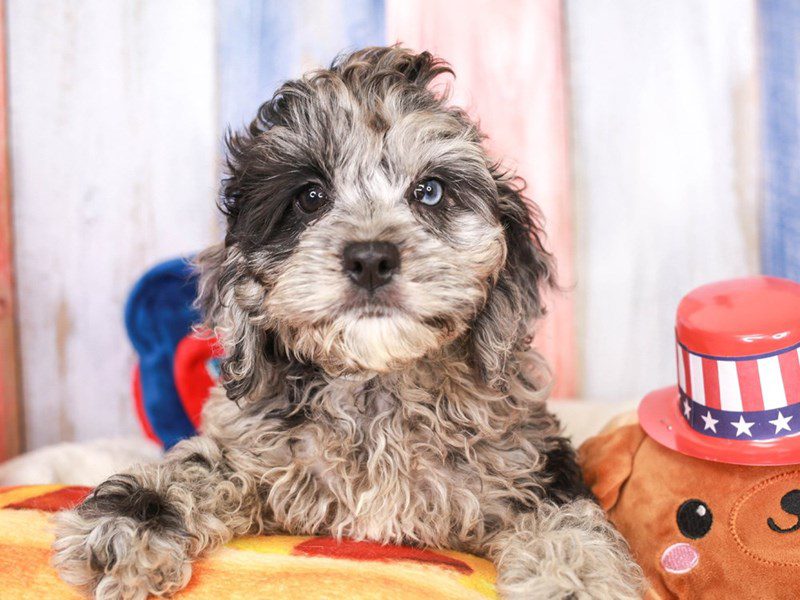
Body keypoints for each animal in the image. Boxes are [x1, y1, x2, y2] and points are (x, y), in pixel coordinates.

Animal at [51, 48, 644, 600]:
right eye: (310, 197)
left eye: (430, 191)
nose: (371, 258)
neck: (375, 387)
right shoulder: (249, 450)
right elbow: (196, 468)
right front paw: (127, 524)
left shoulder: (532, 463)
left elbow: (566, 521)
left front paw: (577, 579)